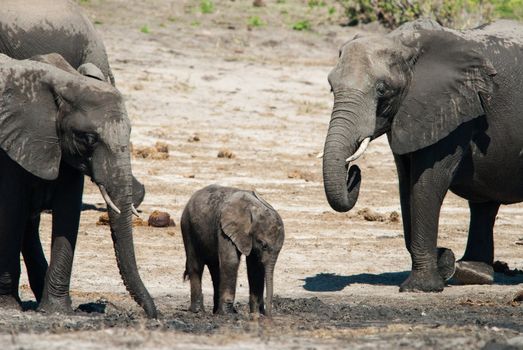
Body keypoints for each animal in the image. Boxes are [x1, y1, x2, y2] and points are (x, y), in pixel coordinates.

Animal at [181, 186, 286, 318]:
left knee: (215, 269)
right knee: (196, 265)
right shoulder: (224, 230)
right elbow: (231, 261)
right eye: (263, 245)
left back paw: (215, 311)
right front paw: (227, 315)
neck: (254, 209)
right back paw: (198, 311)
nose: (268, 316)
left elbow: (255, 267)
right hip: (187, 225)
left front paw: (255, 314)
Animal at [324, 19, 523, 292]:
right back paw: (470, 272)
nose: (353, 171)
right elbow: (406, 186)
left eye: (382, 90)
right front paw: (444, 264)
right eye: (331, 87)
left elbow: (426, 184)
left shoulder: (449, 108)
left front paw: (420, 287)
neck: (403, 43)